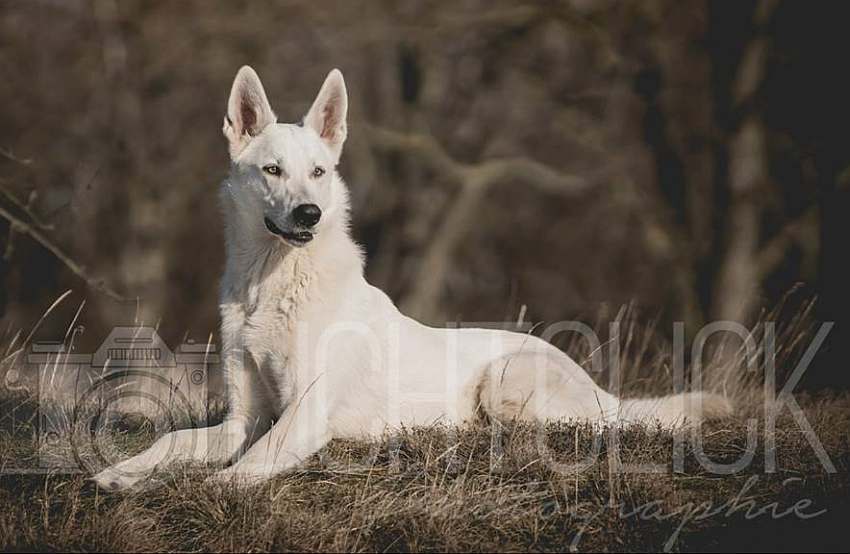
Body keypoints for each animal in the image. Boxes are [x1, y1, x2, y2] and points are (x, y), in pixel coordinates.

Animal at [91, 67, 728, 490]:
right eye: (272, 169)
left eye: (318, 172)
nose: (309, 214)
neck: (269, 286)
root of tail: (606, 392)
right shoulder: (240, 419)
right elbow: (174, 441)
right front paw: (122, 472)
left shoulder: (303, 415)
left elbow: (248, 463)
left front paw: (206, 488)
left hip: (505, 383)